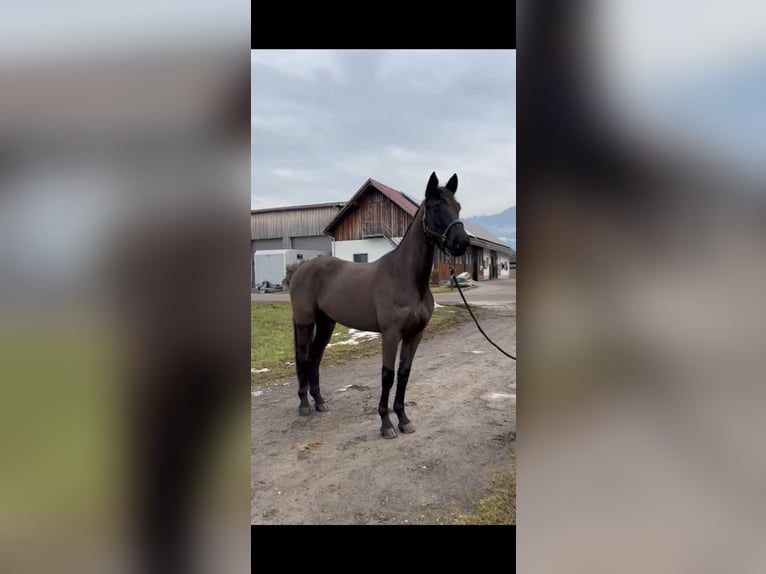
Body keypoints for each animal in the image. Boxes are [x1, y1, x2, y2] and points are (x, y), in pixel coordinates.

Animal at [288, 171, 470, 438]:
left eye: (457, 207)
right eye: (436, 207)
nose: (462, 242)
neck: (406, 278)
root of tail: (300, 270)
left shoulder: (415, 334)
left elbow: (404, 373)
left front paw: (403, 419)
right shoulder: (391, 334)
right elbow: (387, 375)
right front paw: (386, 423)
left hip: (326, 323)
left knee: (314, 357)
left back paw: (319, 401)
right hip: (305, 322)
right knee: (303, 357)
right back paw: (303, 404)